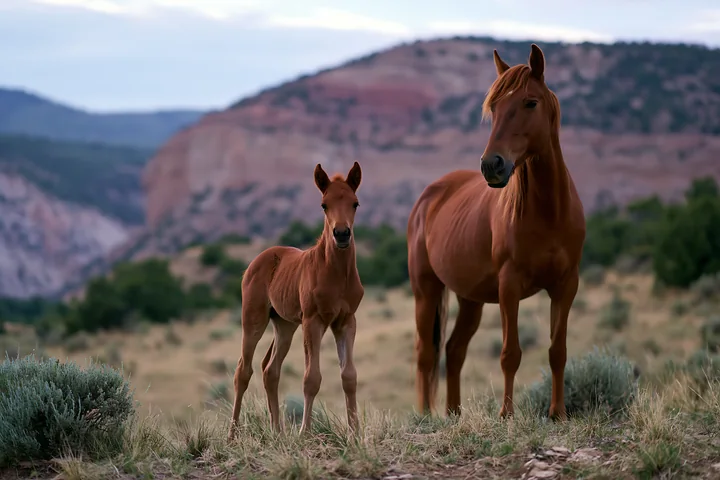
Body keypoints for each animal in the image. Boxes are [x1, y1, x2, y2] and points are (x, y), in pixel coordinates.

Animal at [227, 161, 365, 441]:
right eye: (324, 204)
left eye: (355, 203)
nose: (341, 234)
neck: (336, 275)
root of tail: (259, 260)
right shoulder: (313, 321)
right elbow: (311, 378)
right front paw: (305, 433)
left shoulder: (346, 321)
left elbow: (349, 376)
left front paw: (355, 434)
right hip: (253, 319)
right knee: (243, 371)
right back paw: (232, 435)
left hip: (285, 325)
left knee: (270, 370)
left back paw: (277, 432)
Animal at [406, 44, 586, 420]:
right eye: (494, 107)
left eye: (530, 102)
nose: (492, 165)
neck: (549, 213)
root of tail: (428, 197)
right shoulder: (509, 285)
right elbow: (510, 353)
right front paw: (506, 415)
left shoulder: (566, 284)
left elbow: (557, 351)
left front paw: (559, 413)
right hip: (426, 290)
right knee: (426, 354)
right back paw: (426, 416)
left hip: (470, 298)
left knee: (454, 350)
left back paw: (454, 414)